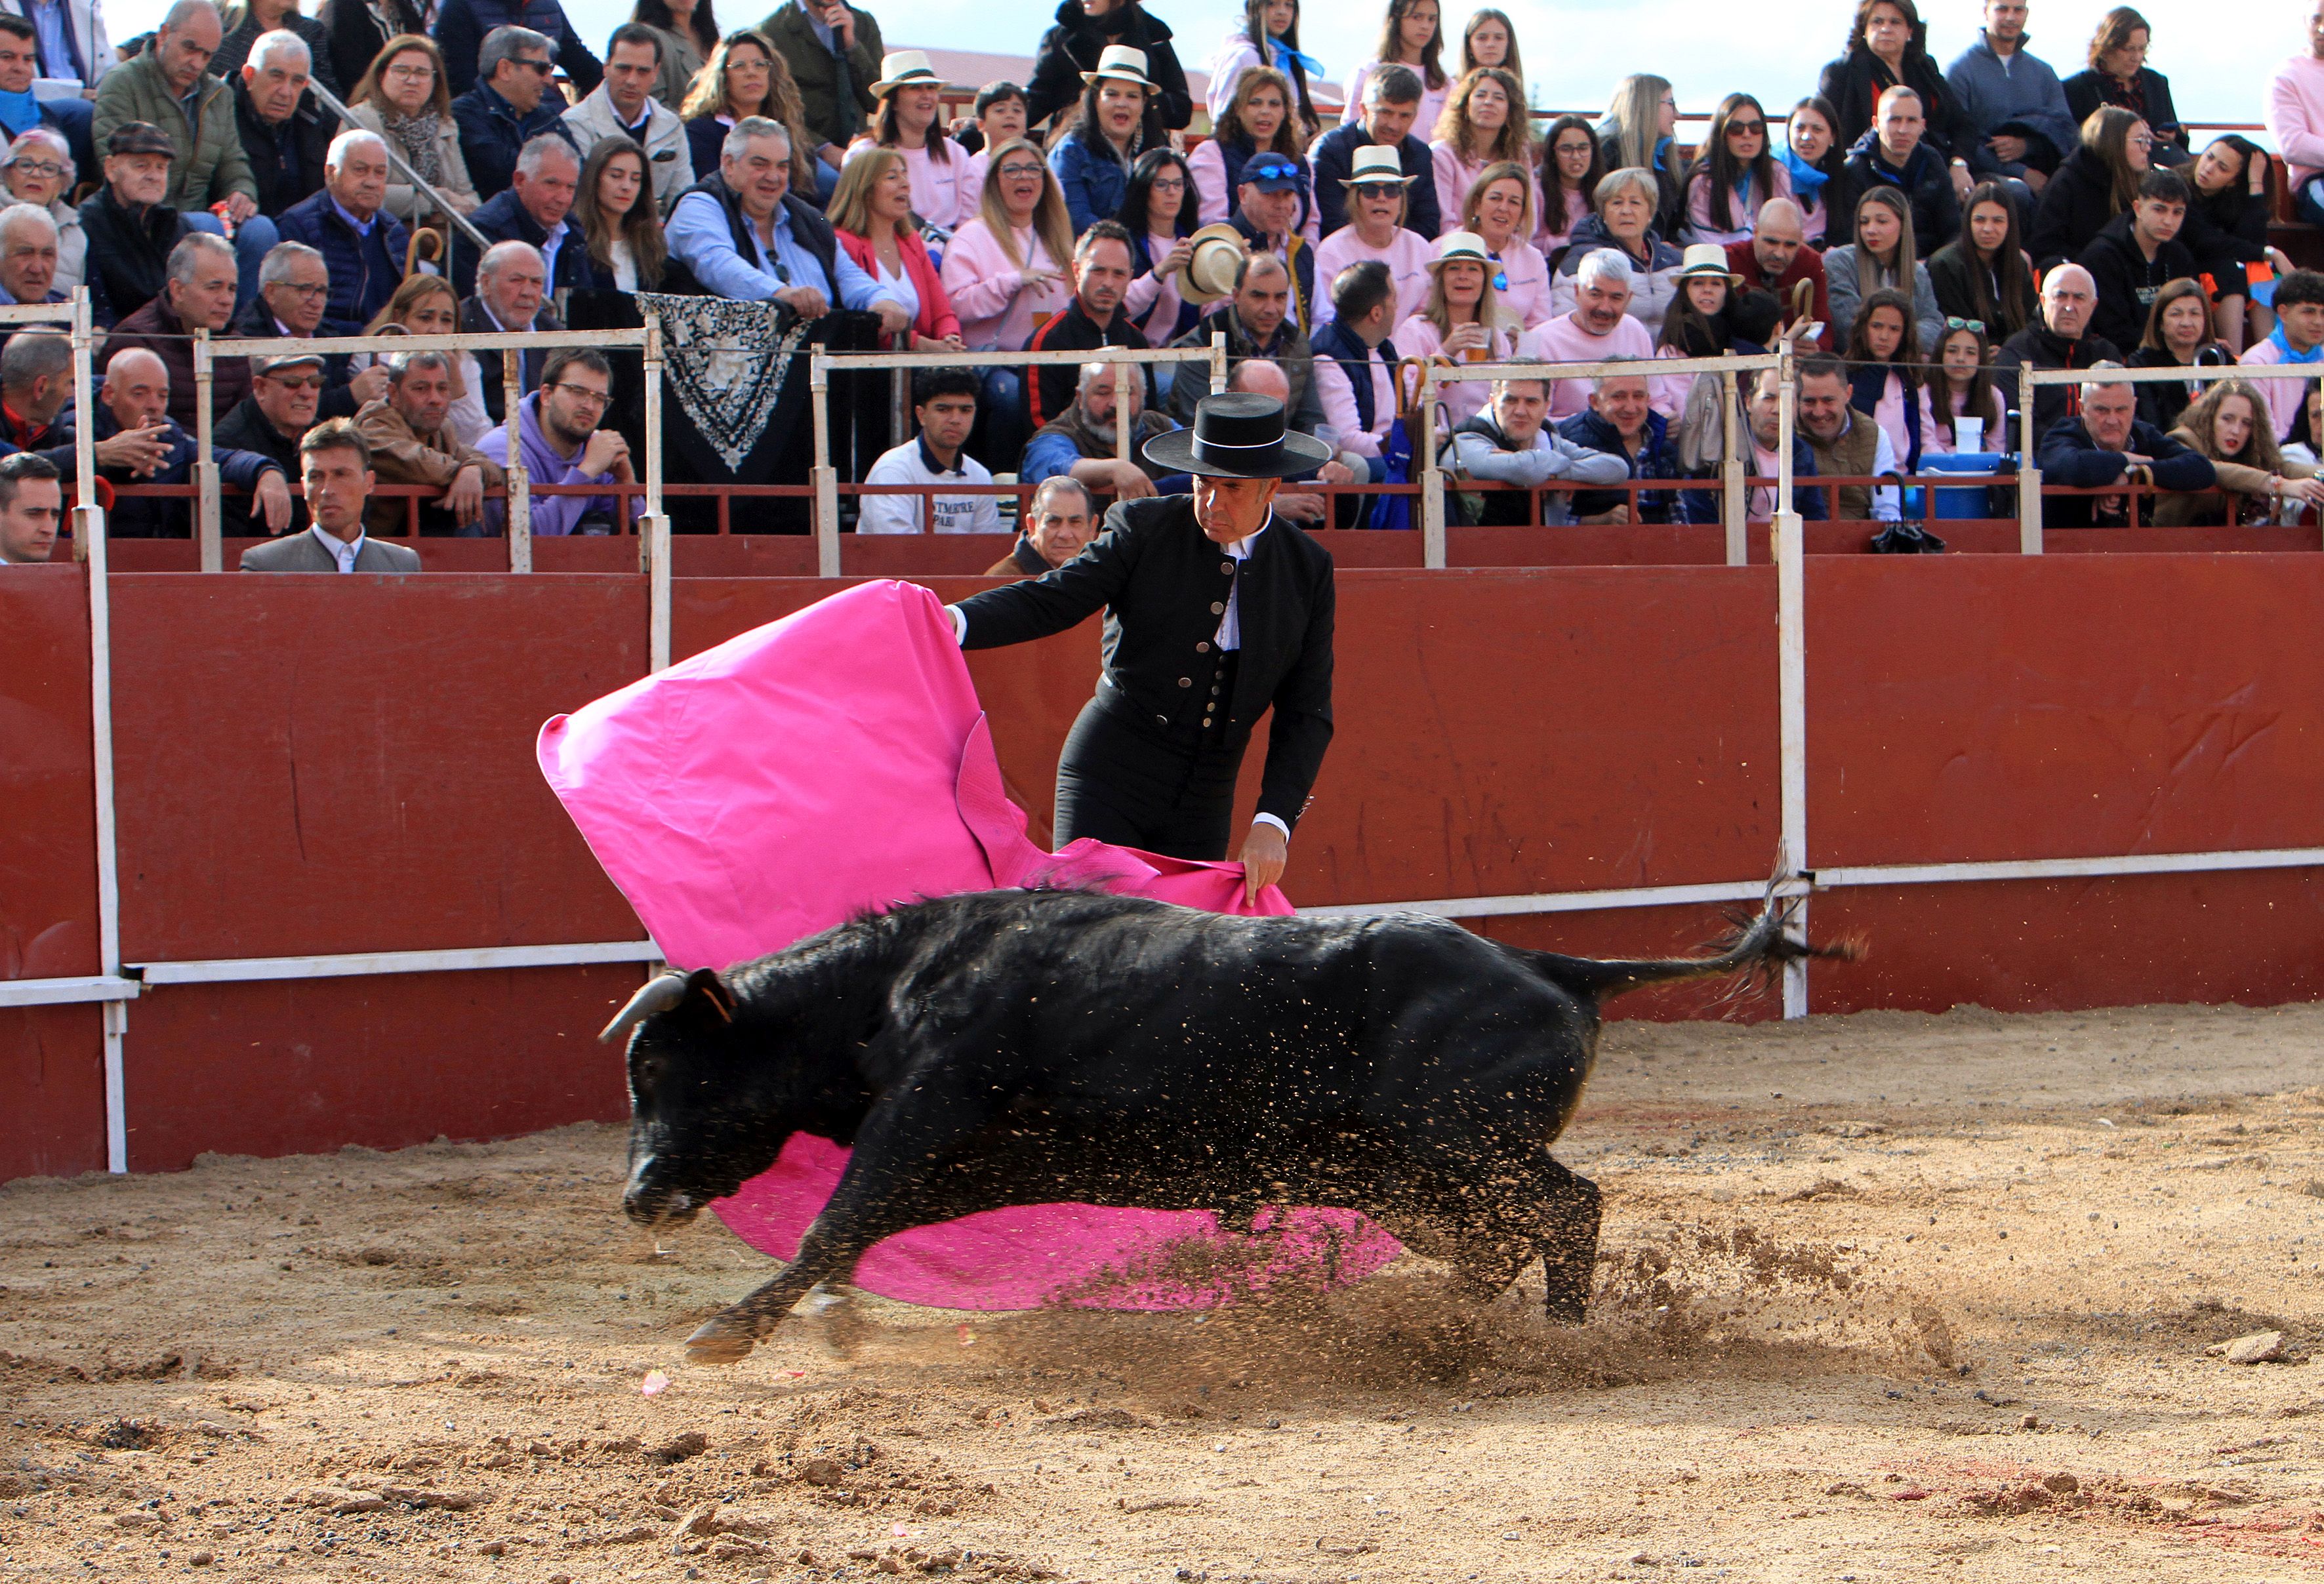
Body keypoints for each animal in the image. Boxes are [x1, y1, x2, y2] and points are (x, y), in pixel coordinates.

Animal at [595, 887, 1812, 1356]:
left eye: (660, 1067)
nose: (639, 1196)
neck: (887, 991)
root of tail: (1551, 962)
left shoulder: (922, 1117)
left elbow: (830, 1222)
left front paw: (724, 1334)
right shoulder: (955, 1162)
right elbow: (847, 1232)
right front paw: (820, 1321)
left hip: (1460, 1149)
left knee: (1566, 1209)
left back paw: (1555, 1337)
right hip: (1410, 1180)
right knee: (1497, 1241)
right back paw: (1439, 1328)